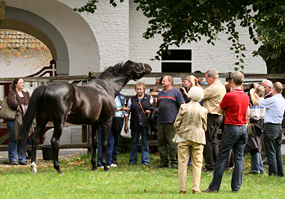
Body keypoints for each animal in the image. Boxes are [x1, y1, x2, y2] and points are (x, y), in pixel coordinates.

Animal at [20, 59, 151, 173]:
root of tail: (46, 87)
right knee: (54, 141)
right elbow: (104, 143)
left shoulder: (95, 123)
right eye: (137, 65)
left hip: (42, 120)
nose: (149, 66)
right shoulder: (106, 121)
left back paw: (34, 167)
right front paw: (105, 166)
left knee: (35, 140)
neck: (106, 87)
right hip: (59, 122)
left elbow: (94, 143)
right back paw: (58, 168)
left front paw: (94, 166)